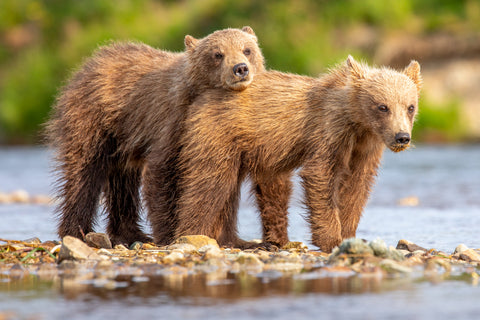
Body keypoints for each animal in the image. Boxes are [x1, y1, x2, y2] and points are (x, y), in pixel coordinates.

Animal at [47, 26, 266, 245]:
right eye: (218, 54)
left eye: (247, 50)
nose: (240, 68)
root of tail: (86, 65)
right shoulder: (172, 124)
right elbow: (162, 172)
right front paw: (169, 234)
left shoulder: (226, 134)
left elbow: (227, 184)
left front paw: (232, 239)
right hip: (93, 121)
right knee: (83, 174)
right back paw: (77, 231)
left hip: (123, 141)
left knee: (122, 182)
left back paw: (130, 233)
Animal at [175, 56, 420, 251]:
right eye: (382, 106)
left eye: (410, 107)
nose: (401, 137)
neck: (358, 123)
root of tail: (203, 96)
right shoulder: (328, 131)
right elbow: (321, 175)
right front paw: (331, 239)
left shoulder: (366, 148)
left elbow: (357, 186)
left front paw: (350, 235)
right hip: (219, 137)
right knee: (210, 184)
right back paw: (192, 235)